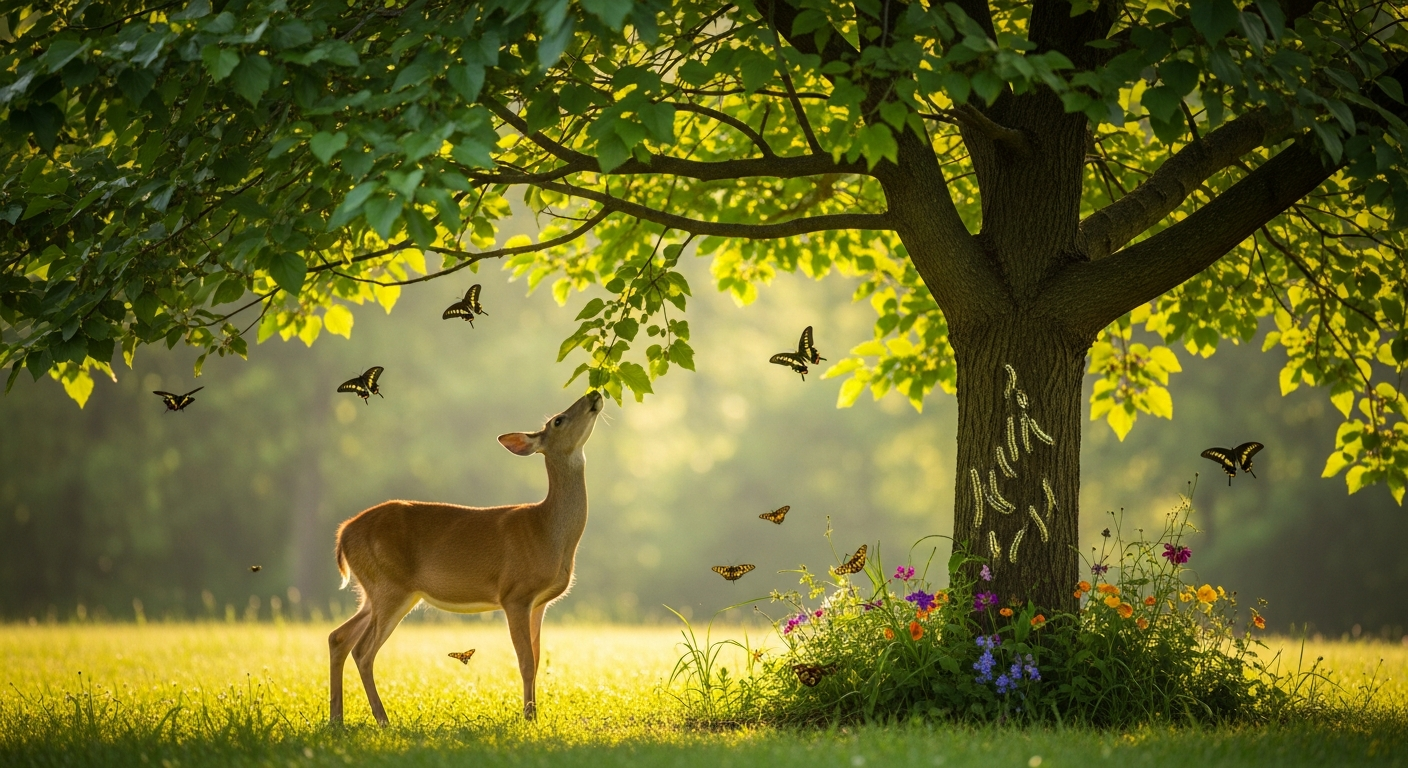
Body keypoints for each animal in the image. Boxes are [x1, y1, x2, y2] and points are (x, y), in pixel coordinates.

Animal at [328, 390, 604, 725]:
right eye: (558, 420)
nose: (594, 393)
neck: (548, 530)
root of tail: (343, 533)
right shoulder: (515, 594)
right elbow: (525, 661)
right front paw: (528, 717)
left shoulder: (539, 602)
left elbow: (537, 660)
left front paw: (534, 713)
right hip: (389, 585)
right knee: (363, 651)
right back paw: (383, 720)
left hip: (375, 590)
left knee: (338, 637)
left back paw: (337, 720)